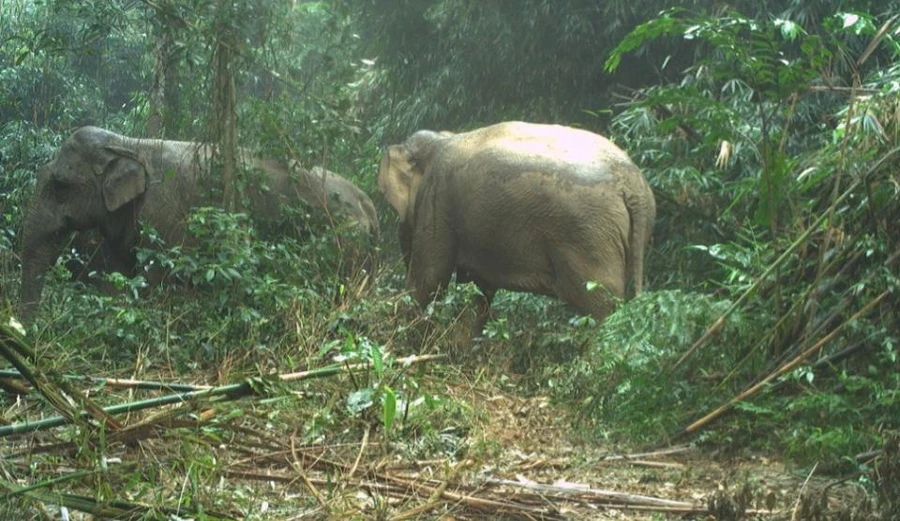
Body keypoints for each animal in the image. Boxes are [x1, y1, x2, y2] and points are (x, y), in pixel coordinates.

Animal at [17, 124, 378, 322]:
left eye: (60, 185)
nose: (28, 331)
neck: (130, 144)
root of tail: (367, 201)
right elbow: (118, 275)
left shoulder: (166, 215)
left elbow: (159, 279)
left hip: (342, 239)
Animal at [376, 121, 656, 334]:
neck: (441, 139)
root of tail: (632, 183)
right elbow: (481, 290)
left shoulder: (437, 199)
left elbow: (429, 280)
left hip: (589, 235)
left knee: (600, 307)